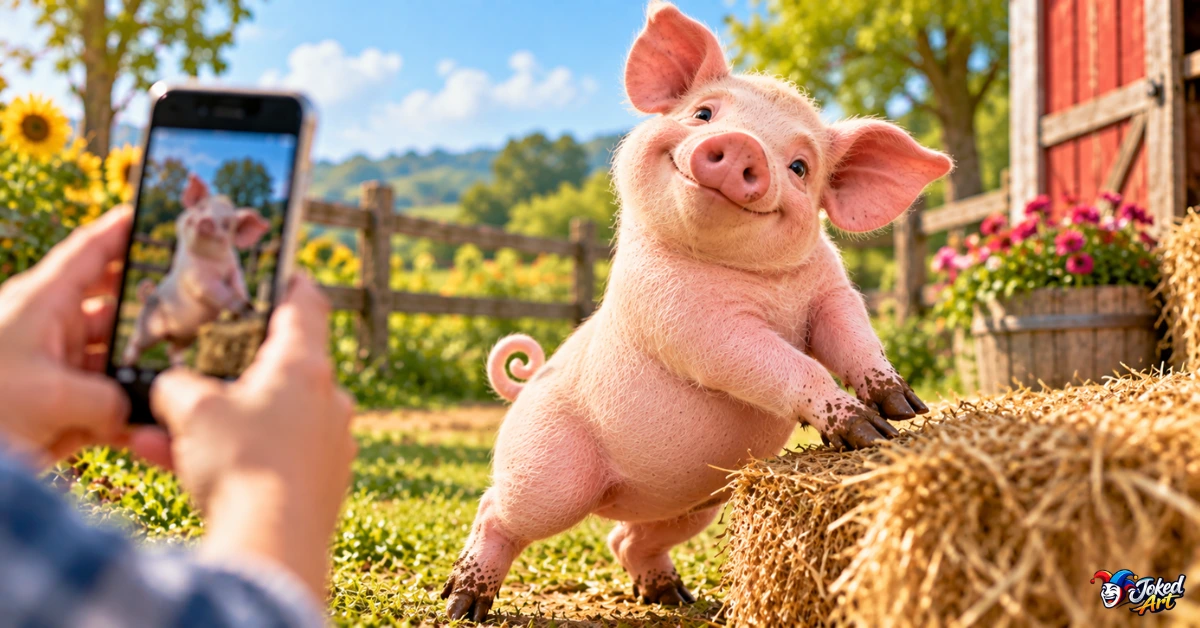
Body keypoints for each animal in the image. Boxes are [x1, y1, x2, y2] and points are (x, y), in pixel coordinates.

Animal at [122, 174, 271, 368]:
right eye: (201, 208)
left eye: (226, 224)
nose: (207, 220)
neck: (216, 265)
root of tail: (147, 298)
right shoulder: (196, 277)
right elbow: (217, 289)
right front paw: (243, 307)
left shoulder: (234, 269)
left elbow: (239, 285)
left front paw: (249, 306)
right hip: (147, 329)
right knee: (135, 344)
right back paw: (128, 362)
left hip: (186, 338)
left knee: (171, 350)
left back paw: (180, 367)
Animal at [440, 3, 952, 621]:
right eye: (703, 113)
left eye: (800, 166)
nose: (742, 145)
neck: (765, 289)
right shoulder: (685, 320)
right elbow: (774, 360)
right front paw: (868, 432)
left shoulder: (831, 294)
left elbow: (853, 338)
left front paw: (904, 410)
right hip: (547, 469)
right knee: (499, 510)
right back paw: (462, 604)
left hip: (693, 502)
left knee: (626, 538)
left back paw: (671, 595)